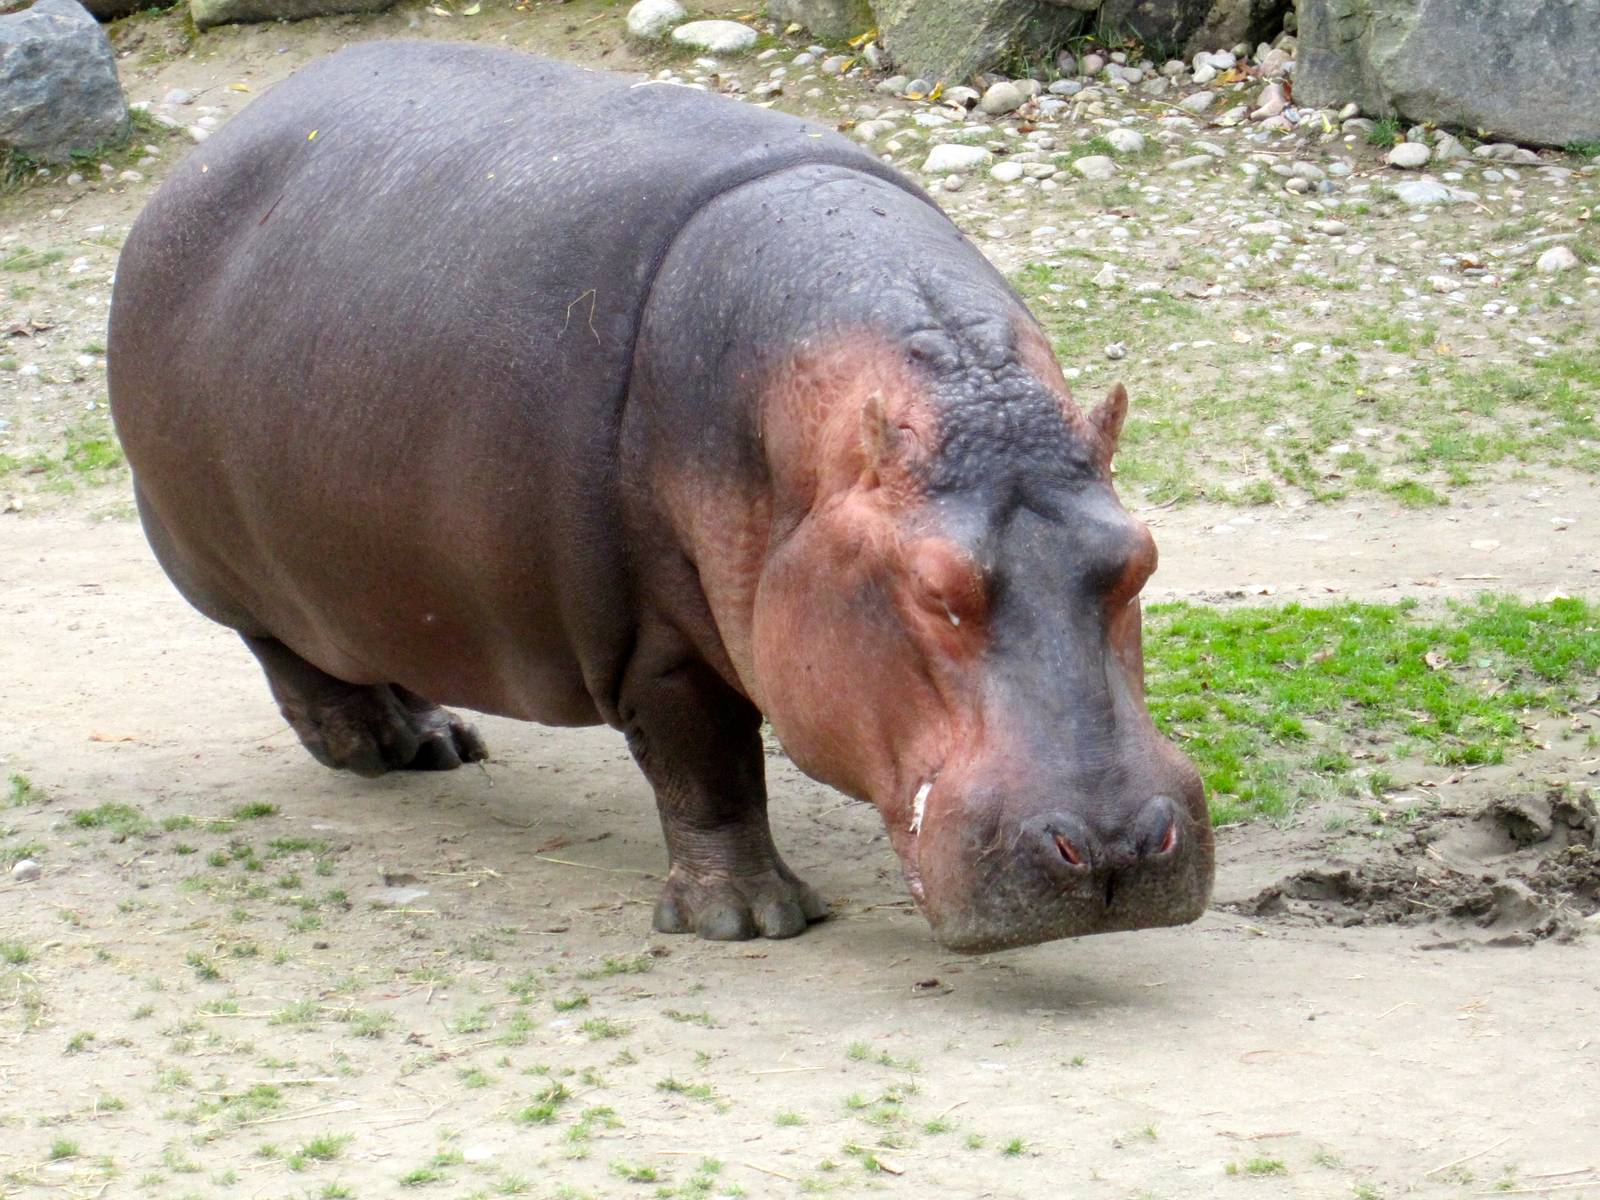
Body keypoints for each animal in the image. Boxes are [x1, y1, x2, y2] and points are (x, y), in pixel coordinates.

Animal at [107, 42, 1213, 953]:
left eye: (1141, 556)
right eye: (935, 591)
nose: (1113, 849)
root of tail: (198, 160)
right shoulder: (652, 639)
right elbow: (706, 763)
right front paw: (752, 921)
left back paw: (436, 742)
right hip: (224, 564)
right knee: (291, 658)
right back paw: (380, 750)